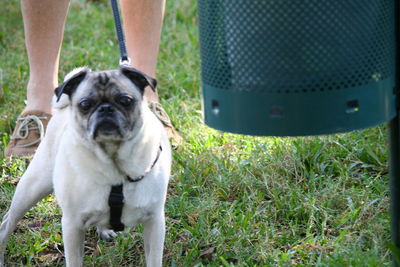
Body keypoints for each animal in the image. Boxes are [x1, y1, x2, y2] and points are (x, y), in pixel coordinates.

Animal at [0, 67, 170, 267]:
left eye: (125, 101)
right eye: (85, 105)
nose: (105, 108)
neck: (114, 164)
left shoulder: (154, 222)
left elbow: (154, 259)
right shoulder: (72, 225)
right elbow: (74, 260)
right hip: (32, 188)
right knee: (7, 223)